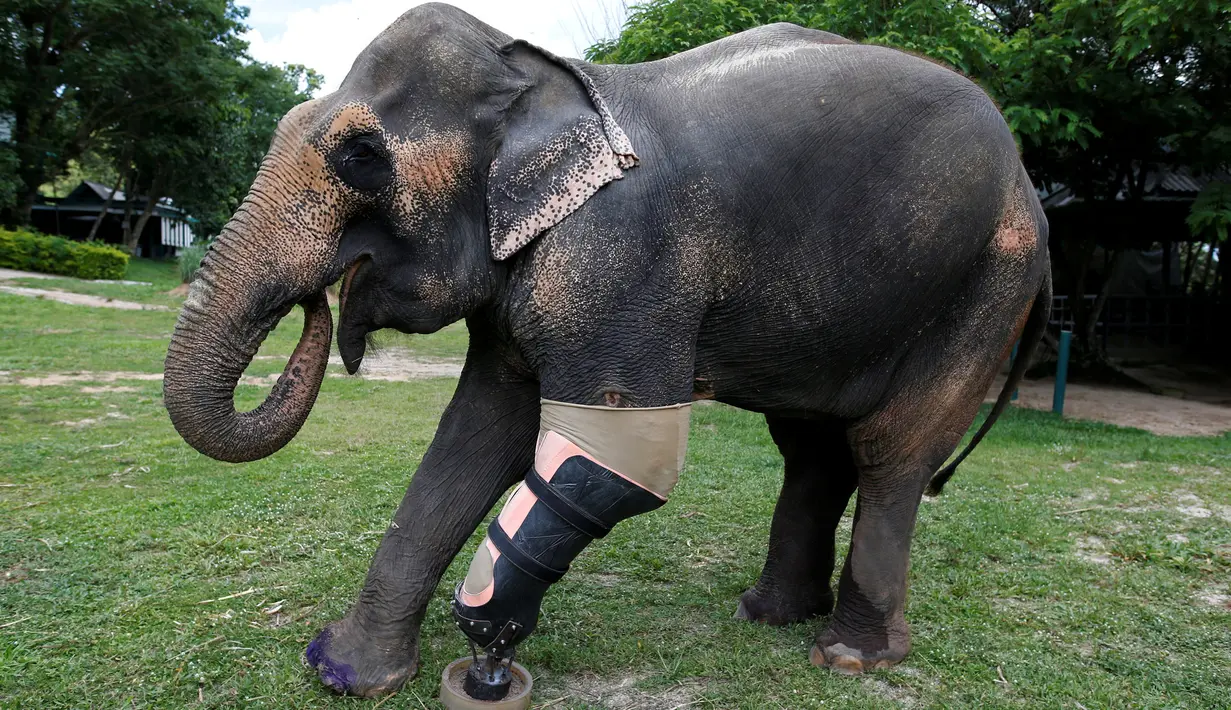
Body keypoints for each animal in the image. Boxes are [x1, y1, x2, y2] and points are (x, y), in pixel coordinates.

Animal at [163, 3, 1051, 698]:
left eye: (360, 157)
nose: (320, 301)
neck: (541, 77)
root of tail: (1029, 189)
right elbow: (476, 435)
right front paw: (345, 673)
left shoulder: (622, 256)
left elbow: (624, 455)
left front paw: (488, 631)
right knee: (811, 446)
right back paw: (767, 614)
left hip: (985, 283)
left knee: (888, 447)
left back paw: (849, 657)